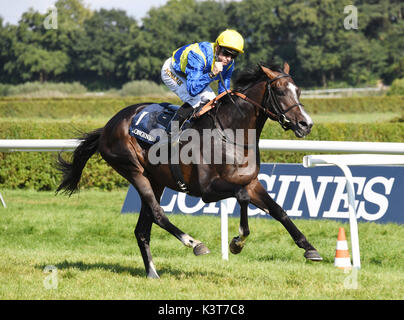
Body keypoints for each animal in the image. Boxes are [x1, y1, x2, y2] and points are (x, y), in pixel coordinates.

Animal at [56, 62, 322, 278]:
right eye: (280, 91)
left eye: (298, 91)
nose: (306, 124)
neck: (232, 133)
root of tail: (108, 125)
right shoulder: (208, 190)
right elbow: (242, 197)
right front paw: (237, 241)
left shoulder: (251, 182)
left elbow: (279, 210)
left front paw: (310, 248)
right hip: (133, 170)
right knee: (158, 214)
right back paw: (194, 243)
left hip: (156, 179)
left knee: (143, 228)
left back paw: (152, 272)